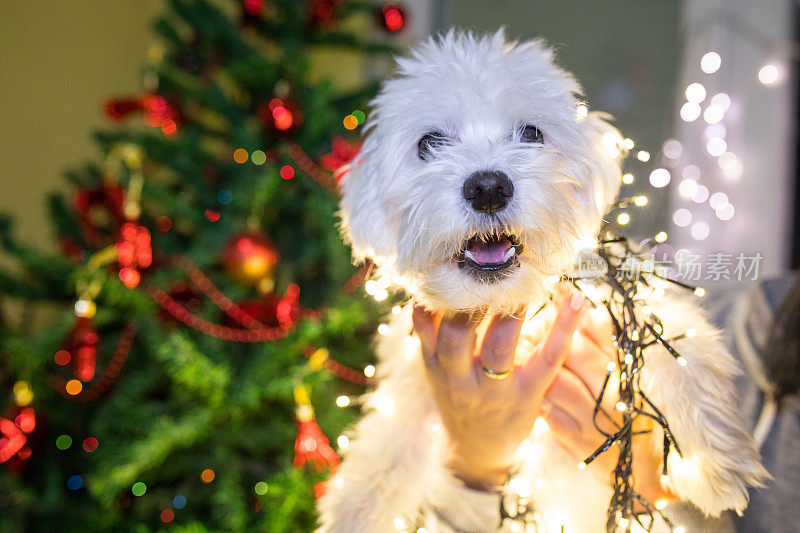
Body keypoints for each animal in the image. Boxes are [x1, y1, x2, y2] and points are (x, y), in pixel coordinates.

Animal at [316, 31, 764, 528]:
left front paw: (715, 464)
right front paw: (353, 512)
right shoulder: (415, 380)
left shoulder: (621, 304)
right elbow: (387, 446)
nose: (488, 187)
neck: (506, 306)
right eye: (429, 142)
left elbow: (685, 357)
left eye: (531, 134)